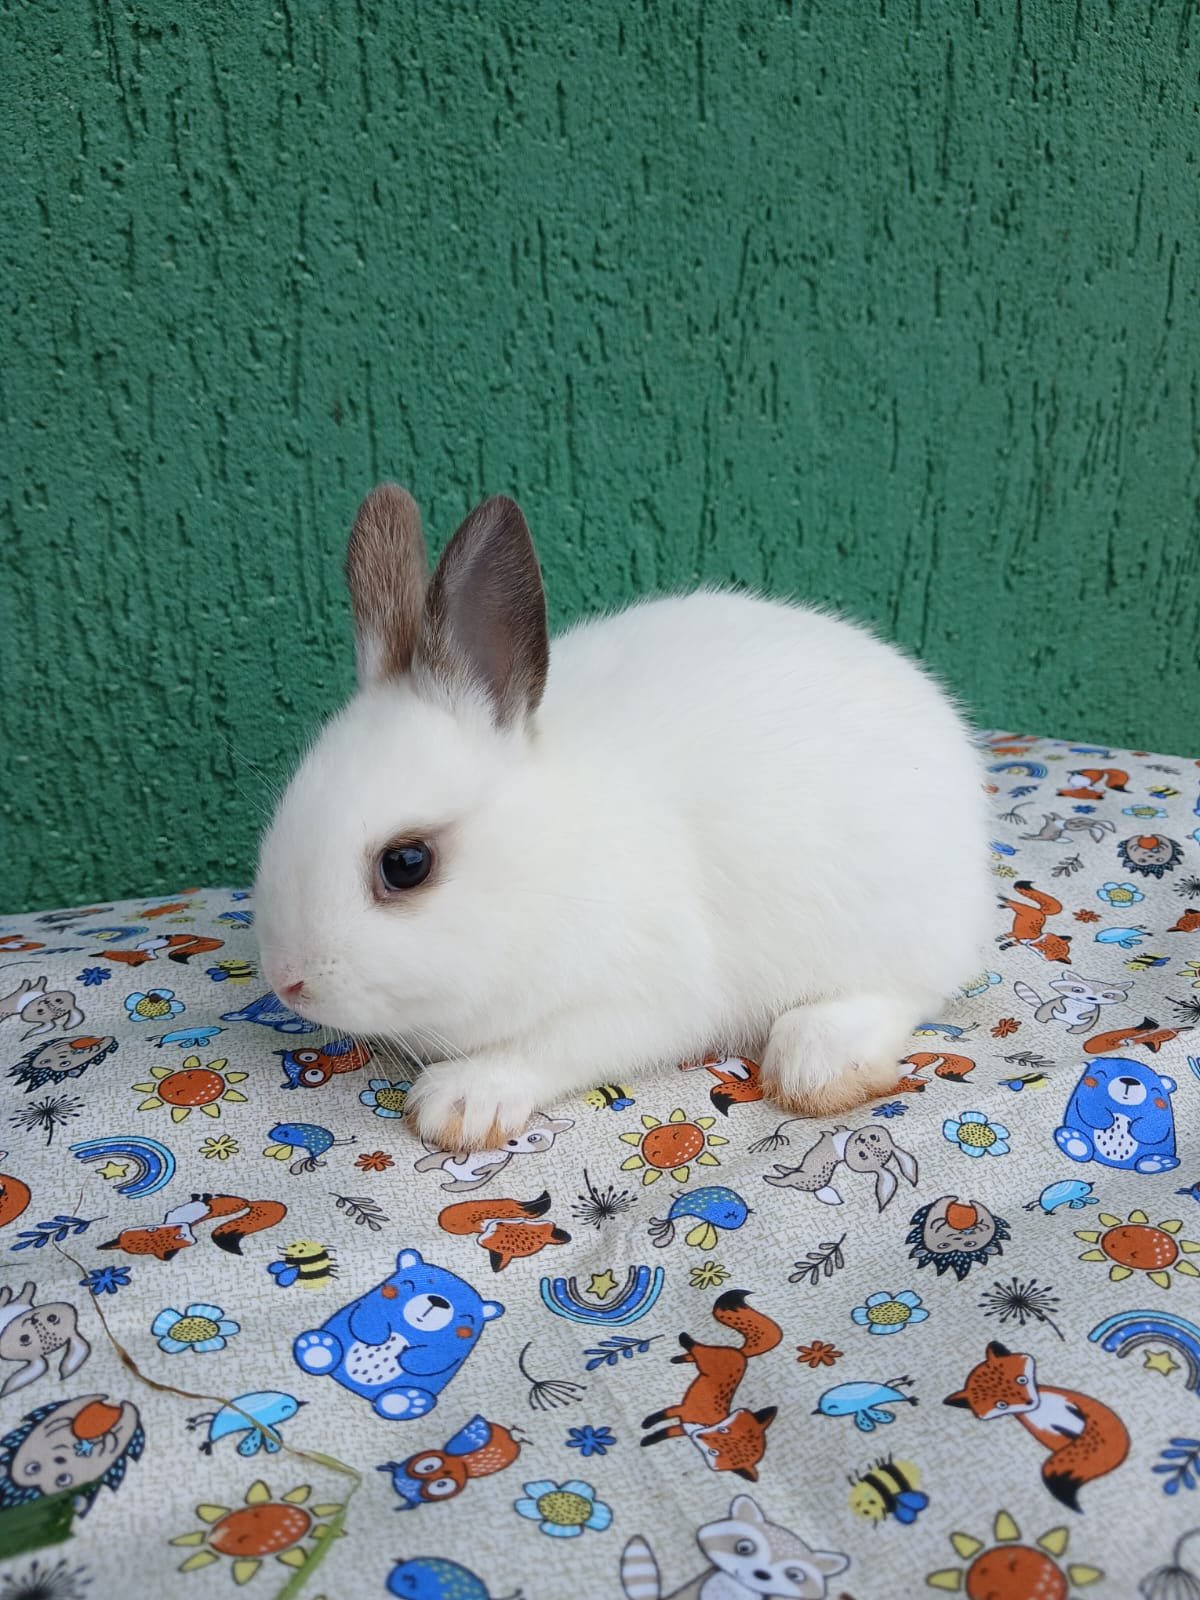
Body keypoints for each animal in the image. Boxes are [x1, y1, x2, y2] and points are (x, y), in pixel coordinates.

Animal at [255, 486, 991, 1151]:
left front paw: (460, 1102)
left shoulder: (643, 997)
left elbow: (549, 1047)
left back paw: (819, 1061)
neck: (551, 858)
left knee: (907, 990)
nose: (288, 983)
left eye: (406, 864)